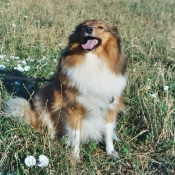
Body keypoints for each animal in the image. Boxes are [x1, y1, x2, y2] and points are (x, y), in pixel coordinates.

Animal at [5, 19, 126, 161]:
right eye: (84, 26)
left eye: (100, 27)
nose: (89, 29)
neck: (92, 60)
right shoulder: (73, 108)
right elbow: (75, 134)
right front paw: (74, 156)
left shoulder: (110, 107)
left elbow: (108, 134)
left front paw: (111, 153)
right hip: (41, 101)